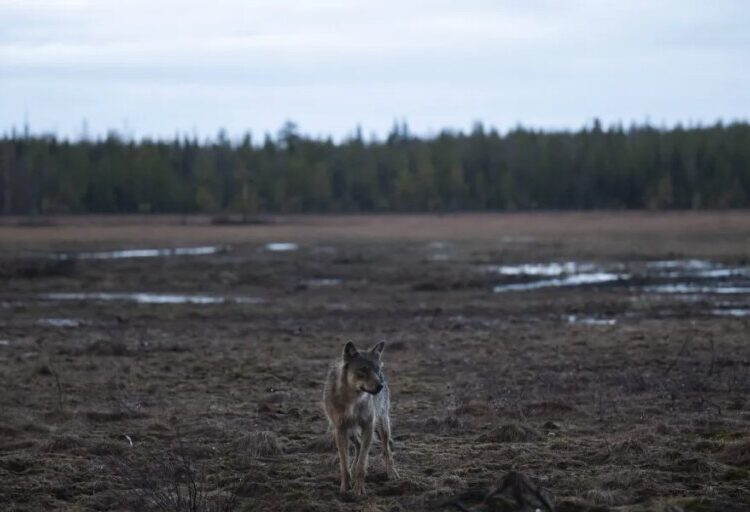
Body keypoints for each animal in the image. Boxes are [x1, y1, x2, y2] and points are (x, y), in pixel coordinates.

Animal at [322, 341, 398, 495]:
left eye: (376, 369)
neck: (352, 399)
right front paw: (345, 488)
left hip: (382, 425)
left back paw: (392, 473)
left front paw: (359, 489)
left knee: (386, 450)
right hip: (341, 430)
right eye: (363, 370)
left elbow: (362, 464)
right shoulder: (340, 429)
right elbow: (344, 464)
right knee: (357, 445)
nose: (380, 386)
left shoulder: (368, 426)